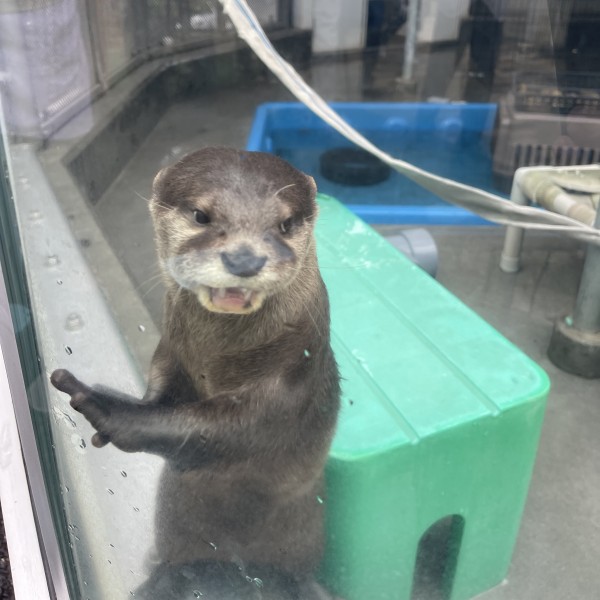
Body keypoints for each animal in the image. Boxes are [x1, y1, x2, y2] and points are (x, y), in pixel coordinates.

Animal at [51, 147, 341, 599]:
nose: (244, 258)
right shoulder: (170, 356)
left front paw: (108, 410)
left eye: (285, 224)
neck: (215, 358)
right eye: (201, 215)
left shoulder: (291, 380)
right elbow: (165, 400)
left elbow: (225, 433)